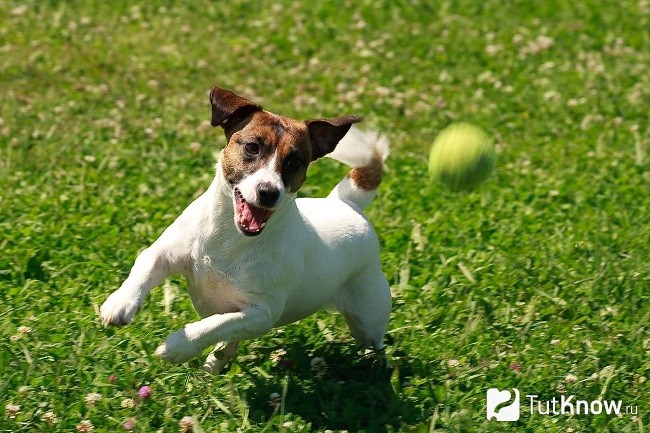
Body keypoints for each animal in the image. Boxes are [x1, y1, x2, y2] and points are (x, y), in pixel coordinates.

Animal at [98, 88, 388, 372]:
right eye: (252, 147)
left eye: (294, 161)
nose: (269, 192)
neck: (230, 238)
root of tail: (347, 202)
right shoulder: (165, 254)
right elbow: (145, 265)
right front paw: (120, 303)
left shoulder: (262, 313)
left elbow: (217, 325)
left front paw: (180, 345)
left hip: (368, 316)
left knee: (374, 342)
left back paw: (375, 367)